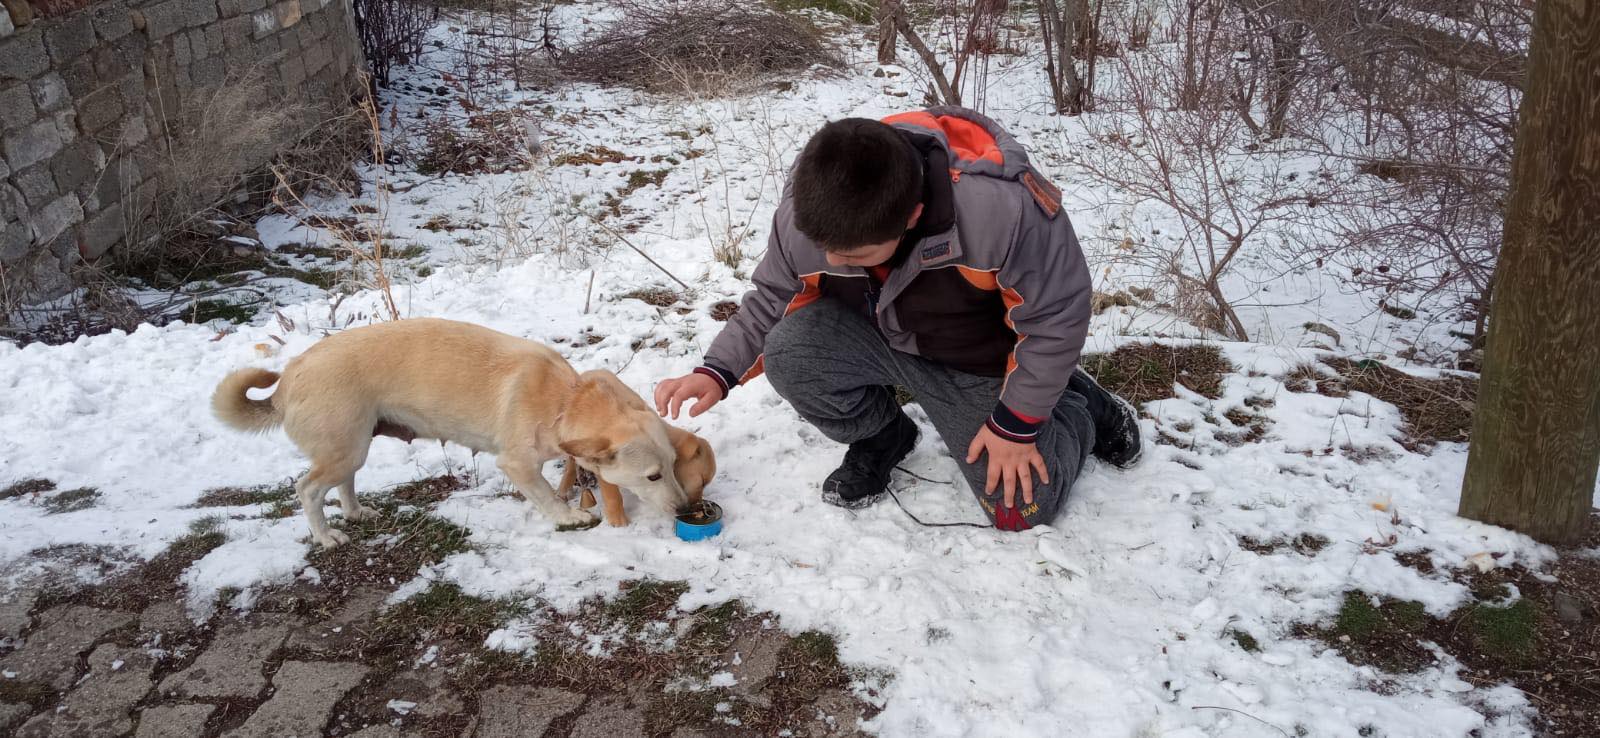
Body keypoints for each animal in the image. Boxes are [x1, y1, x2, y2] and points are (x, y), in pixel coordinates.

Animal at [210, 318, 688, 547]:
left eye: (674, 465)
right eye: (652, 476)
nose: (686, 508)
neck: (563, 401)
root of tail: (288, 379)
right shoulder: (516, 464)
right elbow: (545, 495)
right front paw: (567, 515)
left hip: (354, 445)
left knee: (344, 483)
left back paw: (356, 512)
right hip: (342, 449)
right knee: (307, 490)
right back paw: (326, 536)